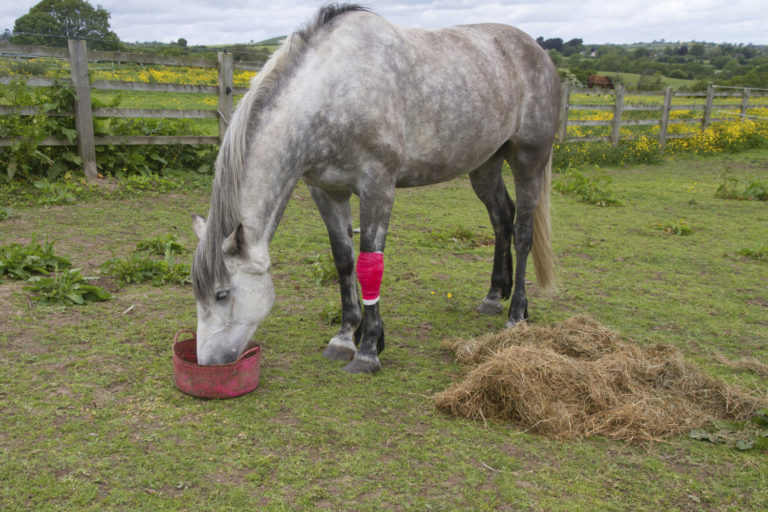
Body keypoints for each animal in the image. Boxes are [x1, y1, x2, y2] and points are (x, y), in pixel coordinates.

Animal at [191, 3, 560, 373]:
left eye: (222, 294)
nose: (207, 363)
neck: (332, 90)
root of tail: (538, 53)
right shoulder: (325, 190)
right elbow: (343, 259)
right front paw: (344, 337)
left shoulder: (378, 186)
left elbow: (370, 264)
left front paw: (369, 348)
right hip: (485, 165)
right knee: (502, 218)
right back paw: (494, 297)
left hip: (529, 160)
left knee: (522, 232)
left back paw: (516, 314)